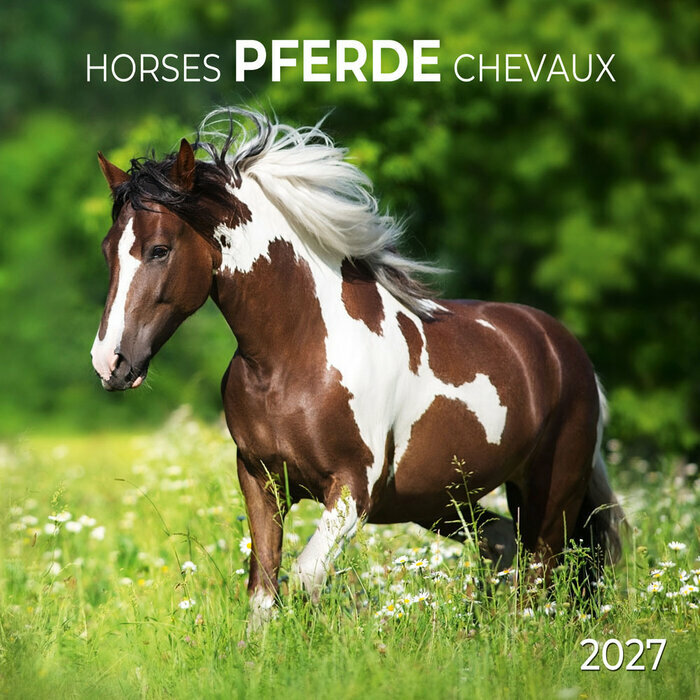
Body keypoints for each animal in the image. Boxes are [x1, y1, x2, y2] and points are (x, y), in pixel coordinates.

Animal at [91, 107, 623, 625]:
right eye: (107, 251)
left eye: (160, 249)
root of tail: (566, 350)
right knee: (502, 546)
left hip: (550, 497)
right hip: (444, 500)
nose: (109, 362)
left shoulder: (352, 490)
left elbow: (306, 577)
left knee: (540, 579)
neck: (292, 358)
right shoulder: (261, 482)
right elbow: (263, 590)